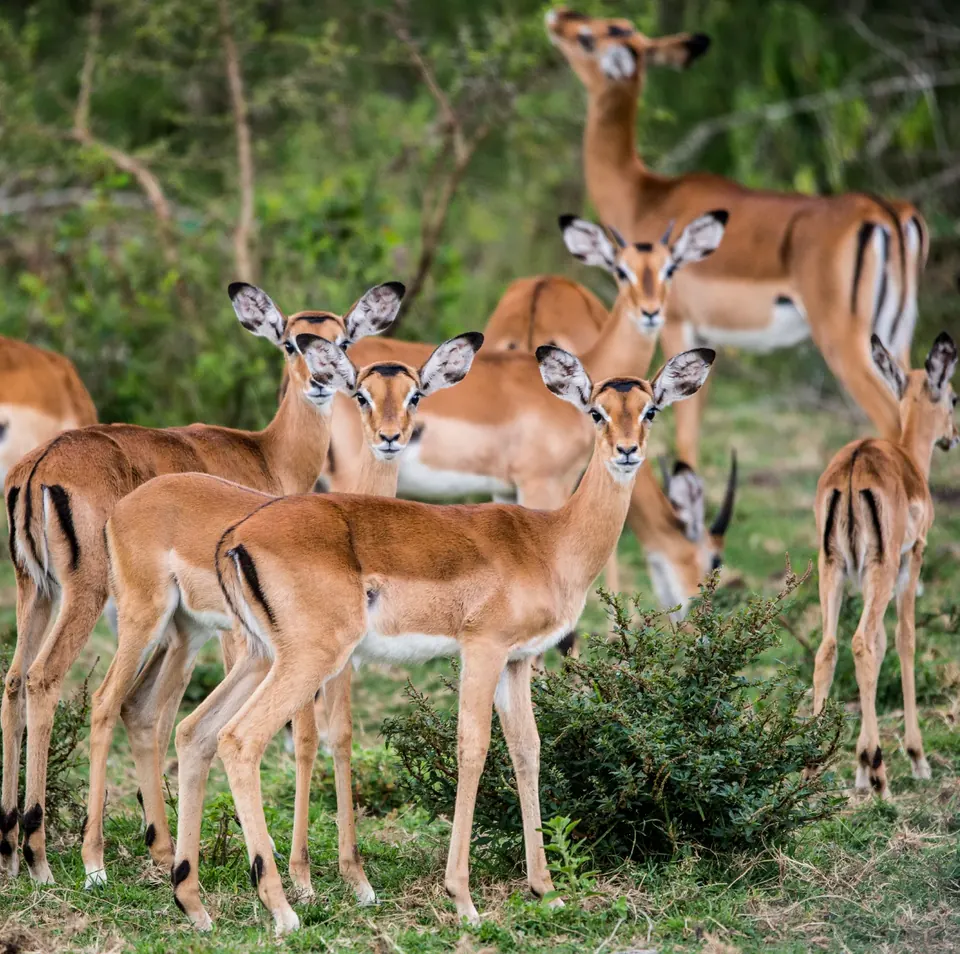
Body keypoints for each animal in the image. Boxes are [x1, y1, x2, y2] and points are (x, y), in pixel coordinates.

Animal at [81, 333, 482, 895]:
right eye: (361, 393)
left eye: (414, 394)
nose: (390, 437)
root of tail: (124, 505)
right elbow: (308, 741)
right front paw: (302, 875)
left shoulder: (342, 663)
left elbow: (341, 738)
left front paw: (355, 878)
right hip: (144, 622)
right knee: (100, 702)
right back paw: (92, 864)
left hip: (184, 634)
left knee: (143, 711)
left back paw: (164, 856)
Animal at [169, 345, 716, 934]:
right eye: (596, 411)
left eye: (649, 410)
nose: (627, 451)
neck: (550, 541)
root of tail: (237, 536)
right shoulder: (483, 649)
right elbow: (473, 748)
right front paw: (464, 899)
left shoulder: (518, 661)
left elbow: (528, 749)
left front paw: (546, 890)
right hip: (309, 659)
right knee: (240, 740)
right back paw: (283, 908)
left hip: (258, 657)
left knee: (195, 731)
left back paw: (194, 904)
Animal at [546, 7, 928, 470]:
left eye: (587, 36)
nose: (558, 15)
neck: (643, 194)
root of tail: (886, 213)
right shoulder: (707, 339)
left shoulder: (677, 326)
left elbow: (685, 435)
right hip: (895, 338)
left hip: (844, 342)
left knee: (891, 422)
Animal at [813, 332, 957, 799]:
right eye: (953, 396)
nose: (953, 436)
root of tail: (854, 465)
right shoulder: (912, 560)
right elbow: (902, 639)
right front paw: (915, 758)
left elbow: (877, 647)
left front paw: (859, 763)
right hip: (883, 566)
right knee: (860, 642)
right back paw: (882, 775)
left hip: (832, 568)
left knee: (829, 648)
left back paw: (809, 770)